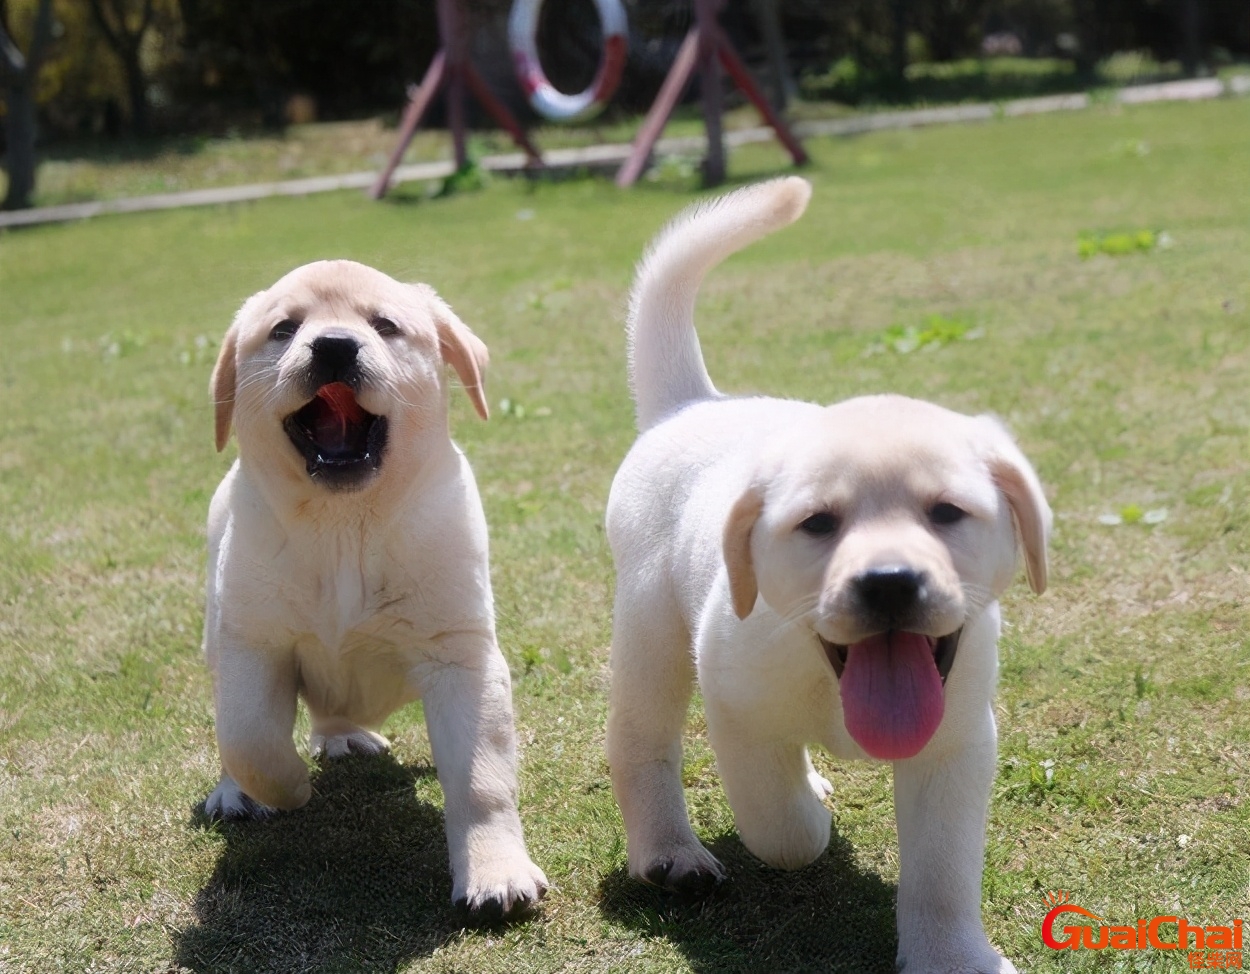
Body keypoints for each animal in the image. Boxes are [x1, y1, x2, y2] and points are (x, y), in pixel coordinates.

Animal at [205, 258, 547, 920]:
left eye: (385, 325)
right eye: (284, 329)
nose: (334, 346)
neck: (345, 526)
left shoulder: (460, 656)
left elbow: (482, 781)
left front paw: (496, 871)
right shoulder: (252, 643)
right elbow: (249, 738)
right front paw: (289, 788)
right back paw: (240, 792)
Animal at [605, 178, 1045, 970]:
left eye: (947, 512)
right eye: (818, 523)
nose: (891, 581)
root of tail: (693, 402)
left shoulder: (957, 741)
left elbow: (942, 871)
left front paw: (951, 955)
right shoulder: (738, 709)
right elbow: (782, 827)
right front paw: (809, 821)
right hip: (651, 632)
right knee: (640, 741)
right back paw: (669, 853)